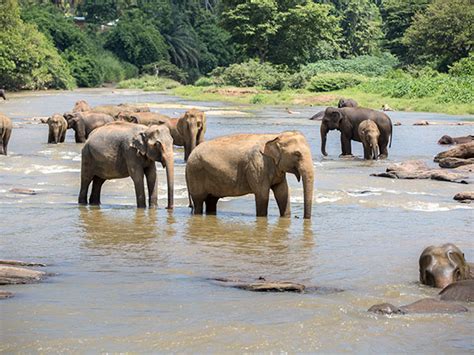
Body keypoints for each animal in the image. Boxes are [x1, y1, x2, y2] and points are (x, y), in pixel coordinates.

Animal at [186, 131, 314, 218]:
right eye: (297, 154)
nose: (302, 218)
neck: (275, 136)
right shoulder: (258, 165)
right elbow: (262, 195)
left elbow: (283, 194)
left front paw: (286, 217)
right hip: (195, 173)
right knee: (198, 201)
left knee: (211, 200)